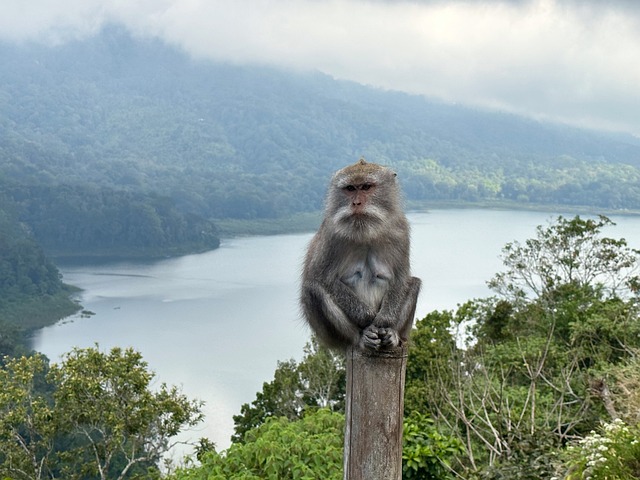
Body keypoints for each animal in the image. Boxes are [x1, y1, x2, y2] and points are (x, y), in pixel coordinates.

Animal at [302, 159, 422, 350]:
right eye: (350, 189)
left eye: (366, 187)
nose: (356, 203)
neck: (366, 232)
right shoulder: (331, 234)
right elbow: (322, 278)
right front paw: (368, 317)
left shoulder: (400, 230)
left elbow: (400, 279)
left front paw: (384, 321)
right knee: (312, 288)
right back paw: (359, 338)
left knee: (414, 283)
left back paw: (393, 335)